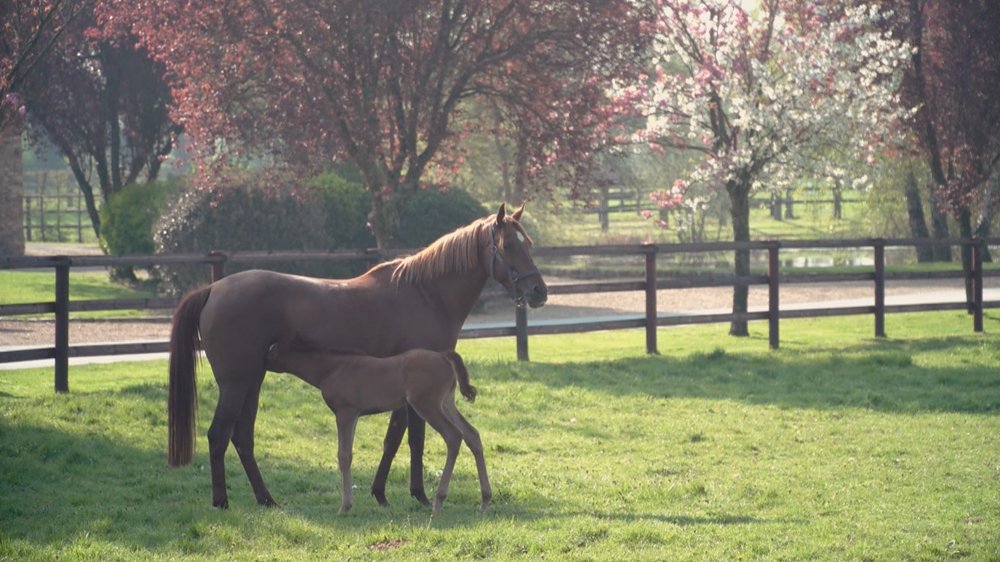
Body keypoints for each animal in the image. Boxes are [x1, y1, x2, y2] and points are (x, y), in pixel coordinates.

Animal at [264, 339, 491, 513]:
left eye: (270, 354)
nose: (260, 364)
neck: (333, 369)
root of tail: (444, 356)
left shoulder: (345, 412)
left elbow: (344, 456)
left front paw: (345, 506)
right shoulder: (354, 415)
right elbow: (347, 455)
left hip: (427, 404)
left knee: (453, 436)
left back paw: (439, 500)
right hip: (446, 403)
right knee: (472, 434)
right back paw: (485, 499)